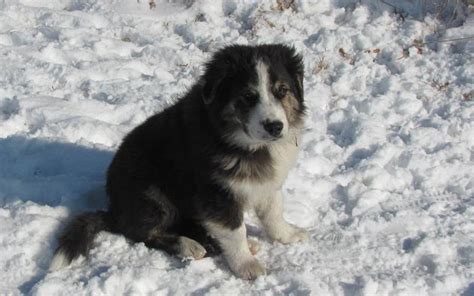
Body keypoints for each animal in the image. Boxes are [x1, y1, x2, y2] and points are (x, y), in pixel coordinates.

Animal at [50, 44, 310, 280]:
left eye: (282, 91)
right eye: (248, 96)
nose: (275, 127)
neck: (243, 142)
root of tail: (114, 211)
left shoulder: (267, 182)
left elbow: (273, 211)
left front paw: (287, 234)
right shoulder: (214, 192)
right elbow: (234, 230)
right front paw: (246, 265)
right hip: (151, 193)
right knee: (139, 232)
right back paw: (189, 245)